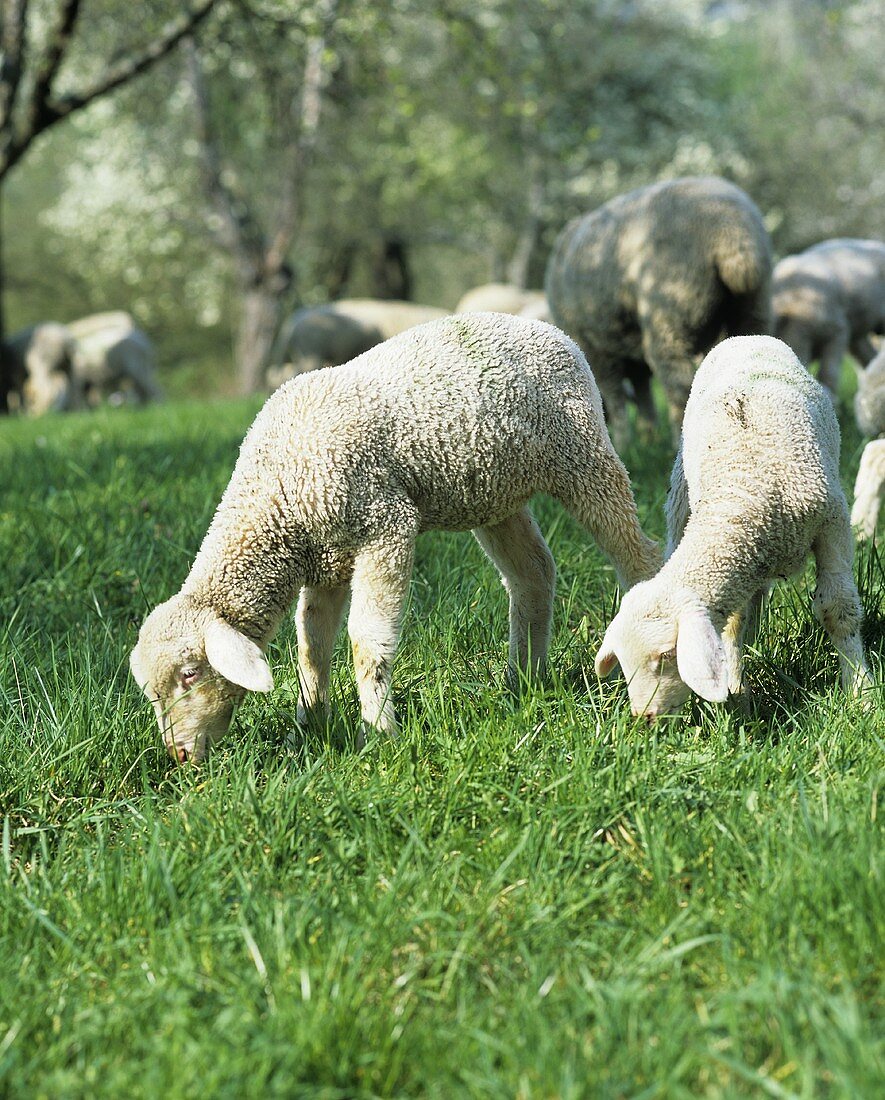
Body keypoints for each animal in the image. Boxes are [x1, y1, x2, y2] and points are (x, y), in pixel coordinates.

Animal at [129, 310, 655, 756]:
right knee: (534, 574)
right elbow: (312, 647)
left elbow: (366, 641)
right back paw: (522, 680)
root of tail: (552, 331)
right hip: (496, 494)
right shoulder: (325, 562)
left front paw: (379, 733)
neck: (277, 495)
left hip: (581, 453)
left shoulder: (385, 526)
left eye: (191, 674)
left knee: (638, 553)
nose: (178, 756)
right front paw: (310, 726)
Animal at [593, 334, 870, 717]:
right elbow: (732, 624)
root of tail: (744, 337)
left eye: (666, 655)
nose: (643, 717)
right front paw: (739, 695)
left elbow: (838, 610)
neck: (744, 487)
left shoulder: (833, 523)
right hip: (682, 497)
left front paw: (860, 690)